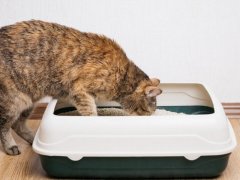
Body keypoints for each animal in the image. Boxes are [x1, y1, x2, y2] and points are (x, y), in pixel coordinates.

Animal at [0, 19, 161, 155]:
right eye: (148, 111)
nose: (150, 118)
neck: (123, 76)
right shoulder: (80, 91)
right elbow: (90, 113)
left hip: (29, 101)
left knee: (18, 125)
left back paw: (32, 138)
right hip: (15, 101)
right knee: (4, 126)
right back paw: (11, 146)